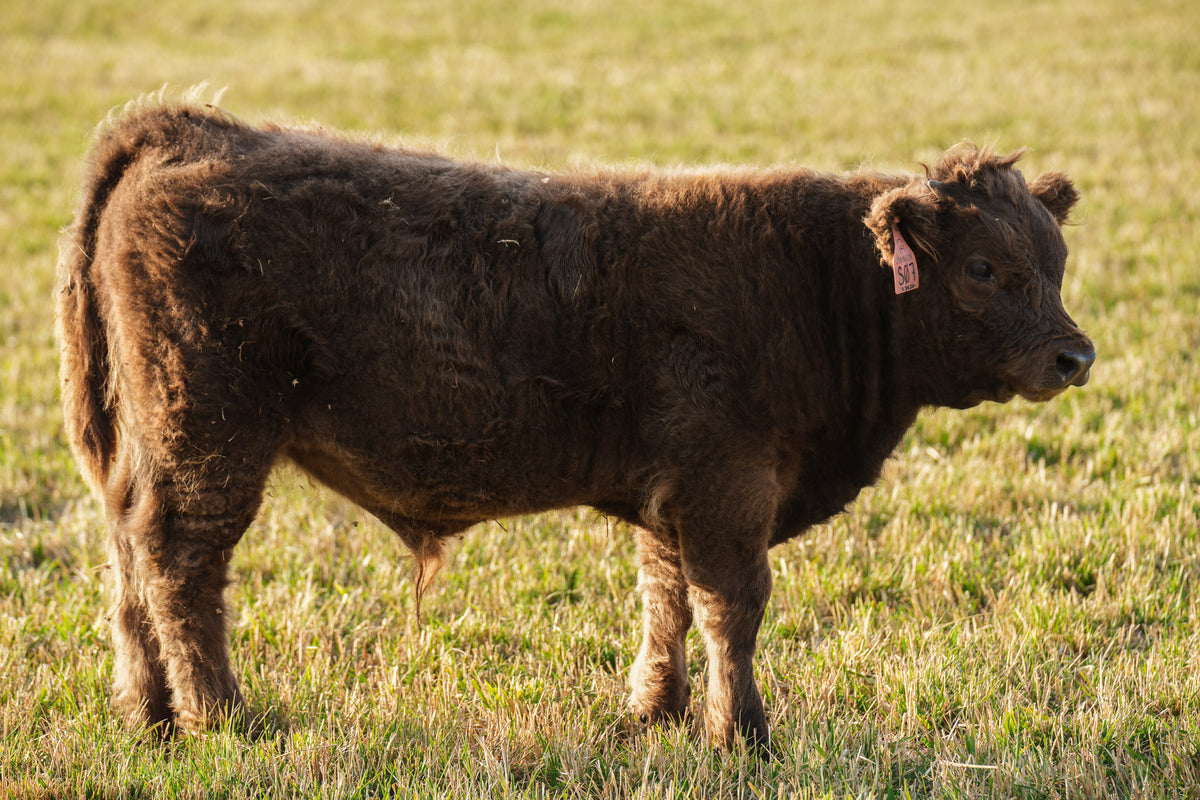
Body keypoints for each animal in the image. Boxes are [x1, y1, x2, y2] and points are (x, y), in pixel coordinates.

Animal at [56, 99, 1094, 748]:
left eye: (1056, 261)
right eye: (983, 269)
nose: (1074, 356)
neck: (814, 280)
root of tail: (192, 131)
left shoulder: (678, 493)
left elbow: (665, 597)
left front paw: (657, 713)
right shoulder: (727, 486)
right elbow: (732, 606)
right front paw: (743, 733)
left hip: (152, 449)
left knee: (128, 558)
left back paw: (149, 713)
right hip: (210, 439)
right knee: (181, 565)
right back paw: (221, 716)